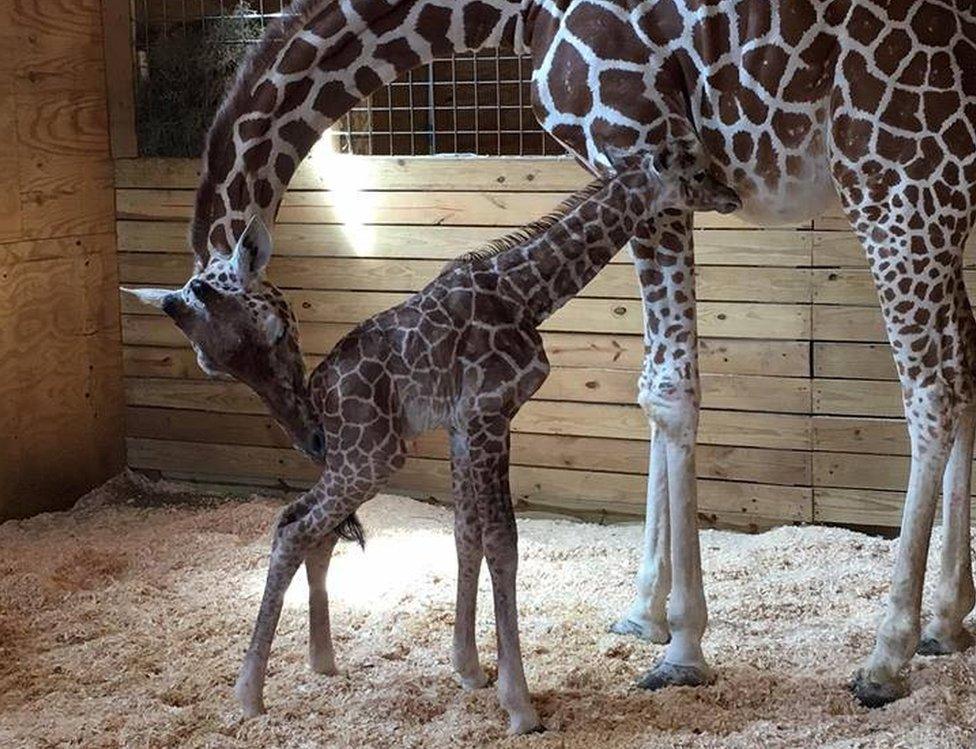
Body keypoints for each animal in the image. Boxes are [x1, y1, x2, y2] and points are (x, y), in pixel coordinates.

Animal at [127, 149, 740, 732]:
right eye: (695, 171)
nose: (731, 195)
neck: (527, 293)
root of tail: (319, 397)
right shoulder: (490, 413)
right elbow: (502, 542)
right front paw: (519, 705)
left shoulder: (464, 424)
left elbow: (467, 534)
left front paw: (470, 669)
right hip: (371, 456)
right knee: (294, 525)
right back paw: (249, 695)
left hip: (359, 457)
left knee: (311, 528)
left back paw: (321, 663)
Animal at [168, 0, 976, 708]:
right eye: (214, 366)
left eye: (271, 331)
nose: (312, 435)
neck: (507, 10)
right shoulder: (637, 165)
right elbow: (654, 390)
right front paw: (647, 614)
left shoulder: (635, 140)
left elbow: (669, 388)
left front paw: (682, 648)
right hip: (943, 198)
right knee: (964, 370)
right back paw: (946, 620)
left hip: (897, 179)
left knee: (930, 391)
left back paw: (886, 657)